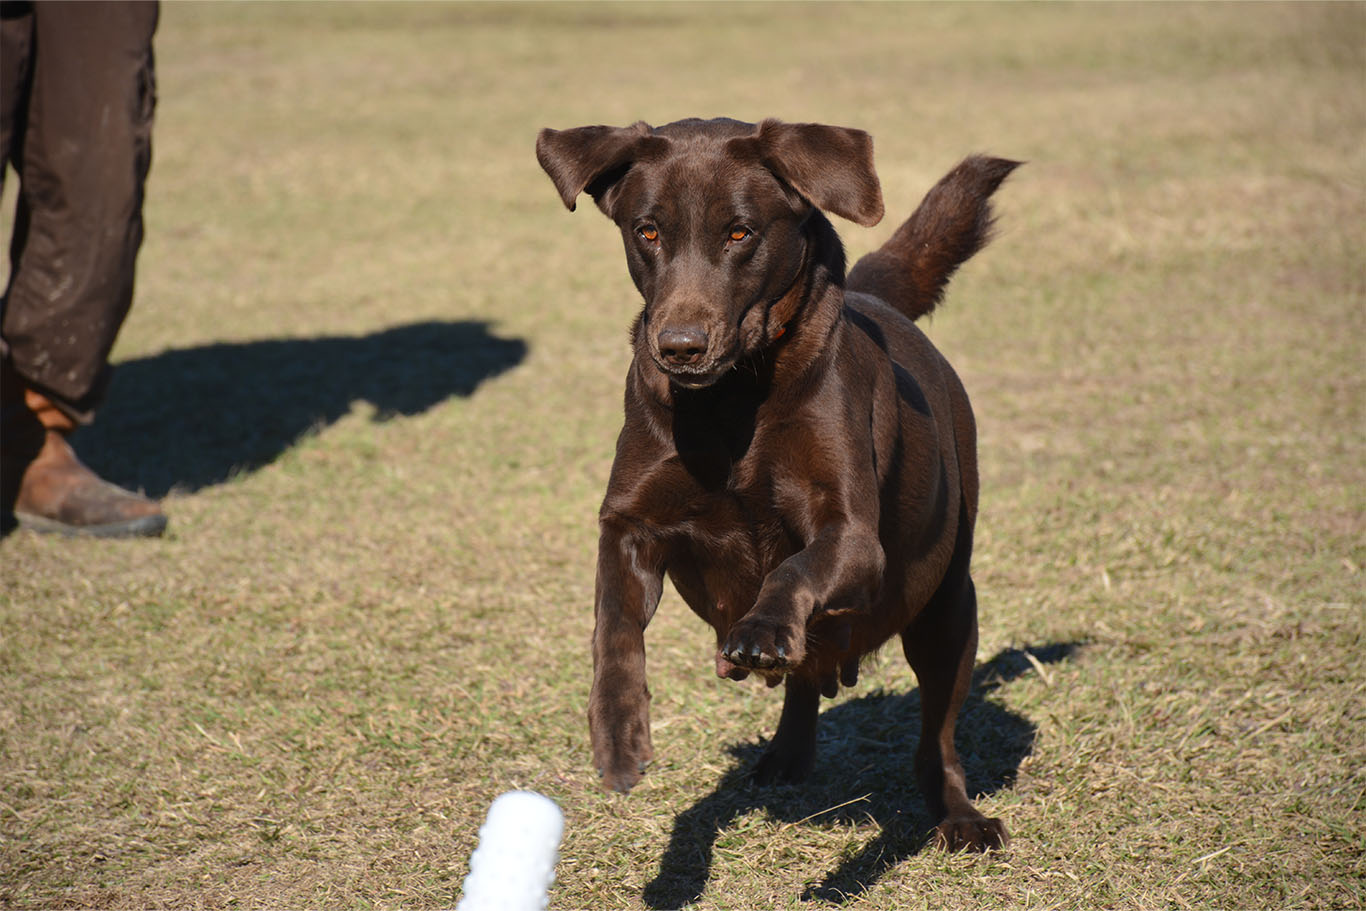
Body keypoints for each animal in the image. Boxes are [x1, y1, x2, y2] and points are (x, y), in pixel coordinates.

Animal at [538, 117, 1021, 852]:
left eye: (741, 232)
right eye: (647, 230)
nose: (678, 346)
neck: (733, 401)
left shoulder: (851, 536)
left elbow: (793, 569)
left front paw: (761, 628)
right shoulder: (629, 522)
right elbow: (614, 625)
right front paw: (618, 735)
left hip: (947, 604)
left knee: (935, 733)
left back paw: (958, 814)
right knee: (806, 676)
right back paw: (786, 753)